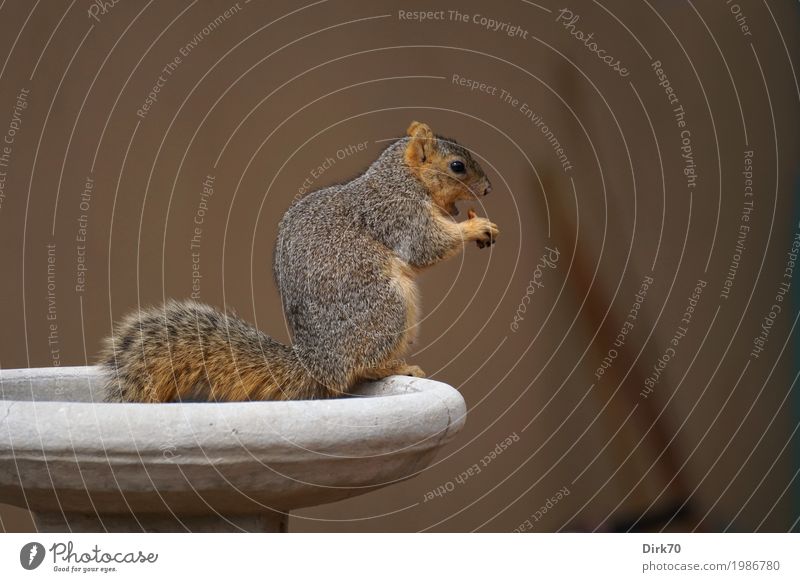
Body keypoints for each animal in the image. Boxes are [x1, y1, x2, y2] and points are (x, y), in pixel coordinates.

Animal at [99, 122, 496, 406]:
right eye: (457, 167)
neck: (403, 177)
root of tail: (318, 364)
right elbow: (427, 246)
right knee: (362, 367)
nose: (489, 189)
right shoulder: (398, 213)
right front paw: (476, 226)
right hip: (386, 306)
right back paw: (396, 365)